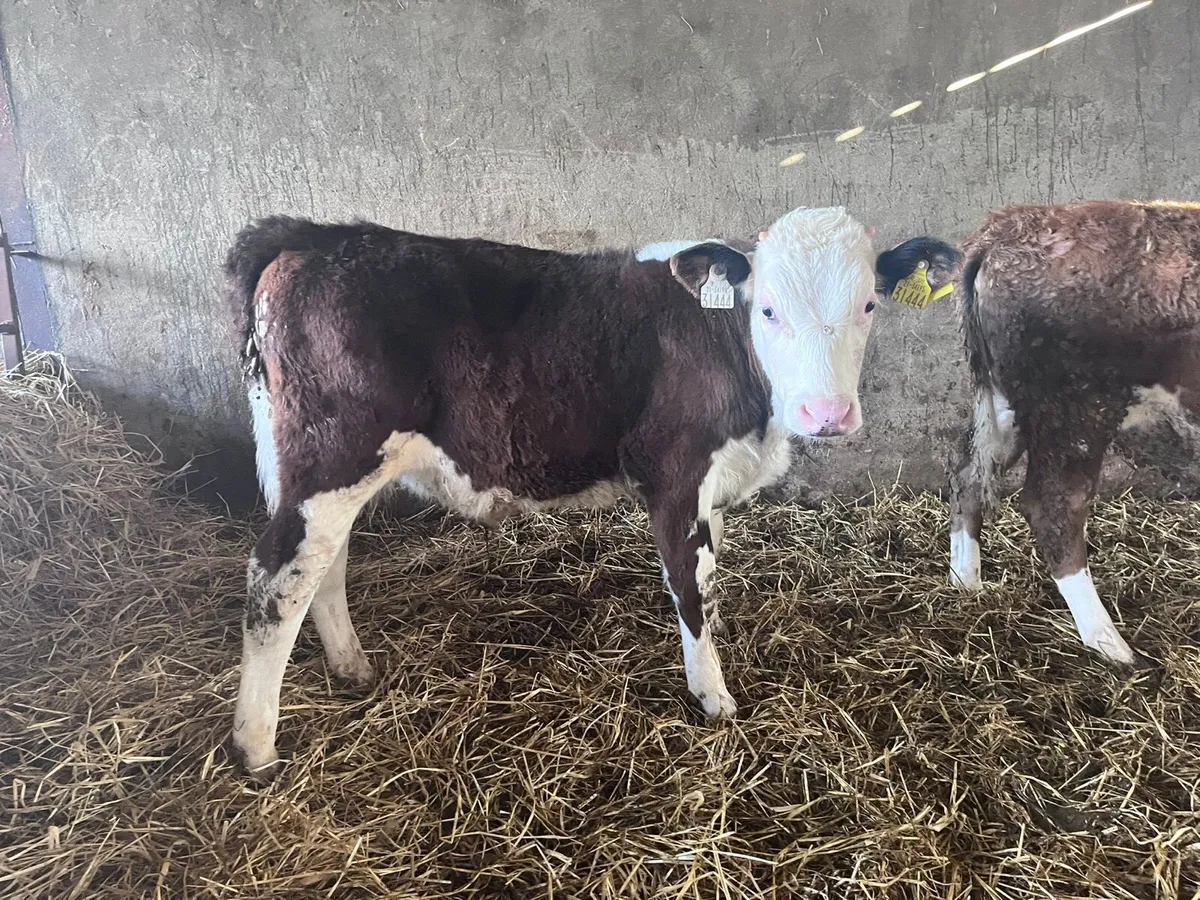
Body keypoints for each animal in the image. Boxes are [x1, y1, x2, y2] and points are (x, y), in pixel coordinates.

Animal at [226, 206, 881, 776]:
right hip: (333, 457)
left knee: (321, 566)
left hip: (314, 474)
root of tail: (311, 236)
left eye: (870, 305)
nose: (826, 412)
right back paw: (256, 746)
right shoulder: (674, 474)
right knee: (277, 578)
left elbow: (710, 579)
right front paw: (713, 696)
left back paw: (351, 668)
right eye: (767, 309)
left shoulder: (712, 487)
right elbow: (689, 588)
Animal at [877, 199, 1200, 667]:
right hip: (1076, 406)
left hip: (1006, 399)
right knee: (1054, 505)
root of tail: (1008, 225)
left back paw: (966, 583)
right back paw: (1112, 646)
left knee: (969, 470)